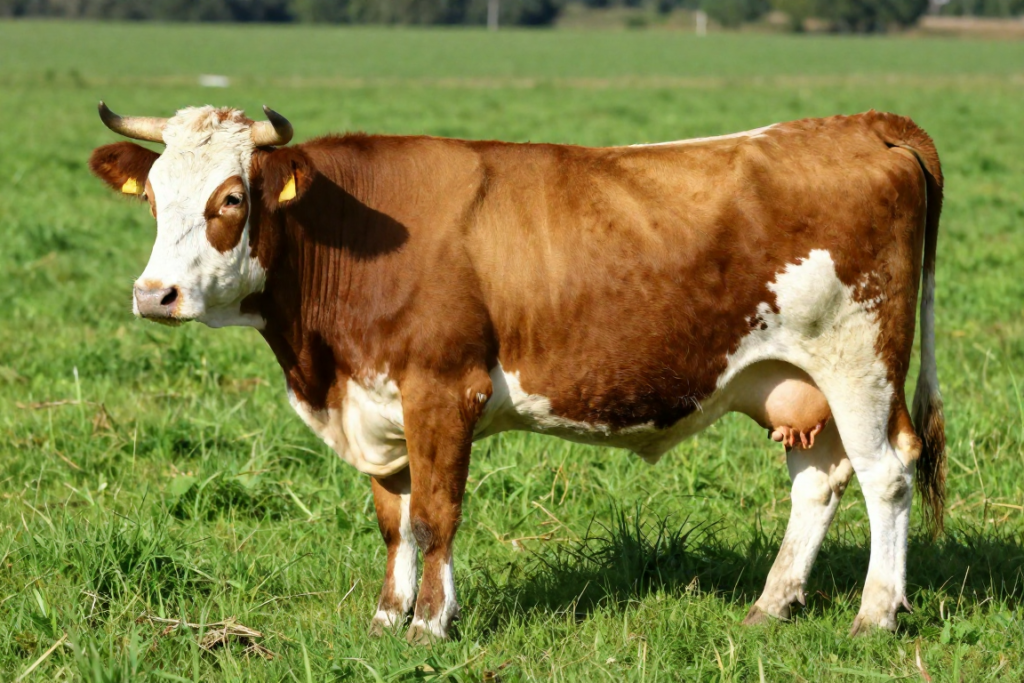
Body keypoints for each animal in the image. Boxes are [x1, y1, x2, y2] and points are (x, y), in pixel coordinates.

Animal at [88, 103, 945, 642]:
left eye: (231, 198)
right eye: (154, 196)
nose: (154, 294)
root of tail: (865, 125)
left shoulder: (442, 389)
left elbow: (436, 515)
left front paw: (430, 623)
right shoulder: (375, 403)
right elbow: (394, 517)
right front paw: (385, 616)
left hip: (859, 362)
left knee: (887, 473)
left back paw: (876, 612)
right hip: (794, 377)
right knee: (819, 479)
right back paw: (772, 604)